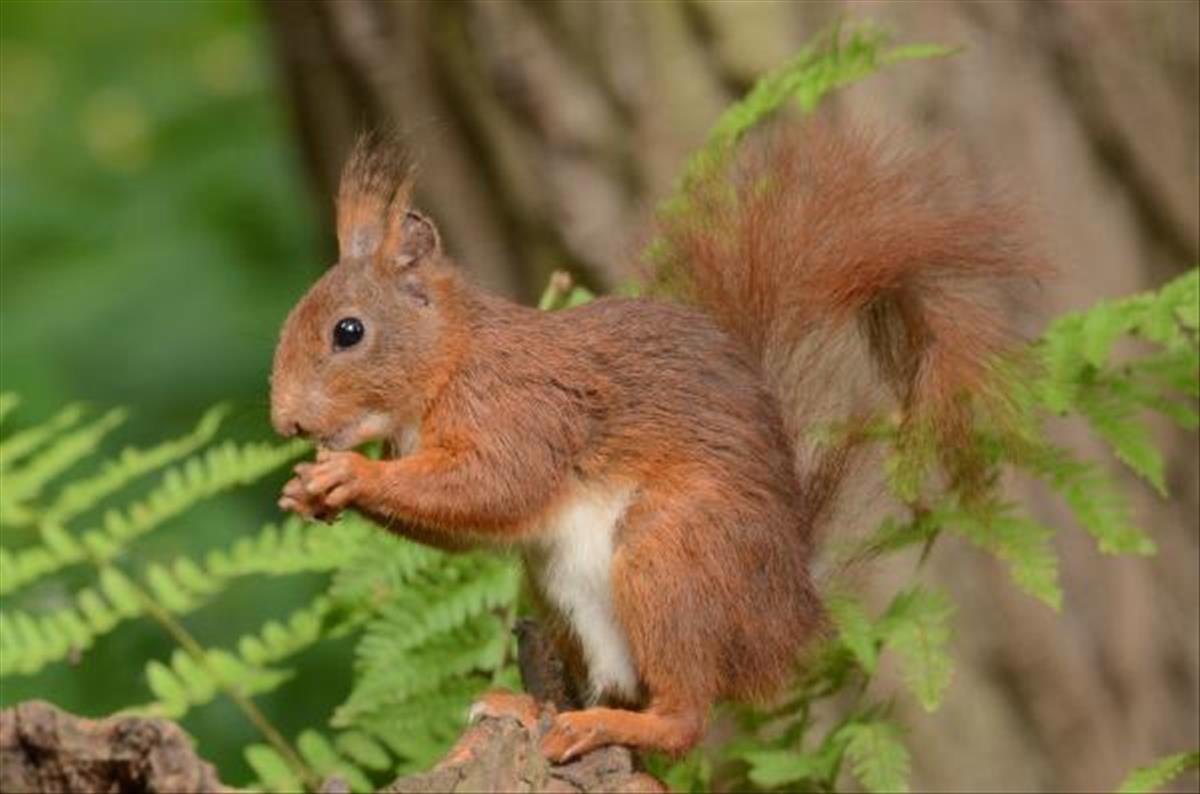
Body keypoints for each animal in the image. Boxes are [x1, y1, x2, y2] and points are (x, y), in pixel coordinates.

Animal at [270, 122, 1041, 767]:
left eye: (348, 332)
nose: (286, 424)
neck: (452, 360)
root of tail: (783, 616)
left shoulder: (525, 413)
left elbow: (494, 486)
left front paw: (349, 476)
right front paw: (306, 490)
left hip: (668, 556)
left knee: (682, 719)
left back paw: (597, 728)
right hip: (563, 592)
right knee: (620, 685)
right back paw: (534, 708)